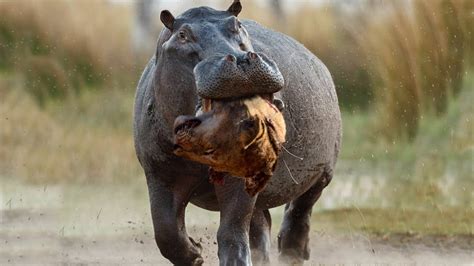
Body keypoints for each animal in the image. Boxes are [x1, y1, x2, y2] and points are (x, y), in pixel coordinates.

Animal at [133, 1, 340, 264]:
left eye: (237, 25)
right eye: (182, 35)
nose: (241, 60)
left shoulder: (241, 177)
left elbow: (231, 232)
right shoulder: (159, 174)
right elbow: (166, 233)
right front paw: (195, 254)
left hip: (322, 171)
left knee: (301, 209)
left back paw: (292, 254)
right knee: (262, 224)